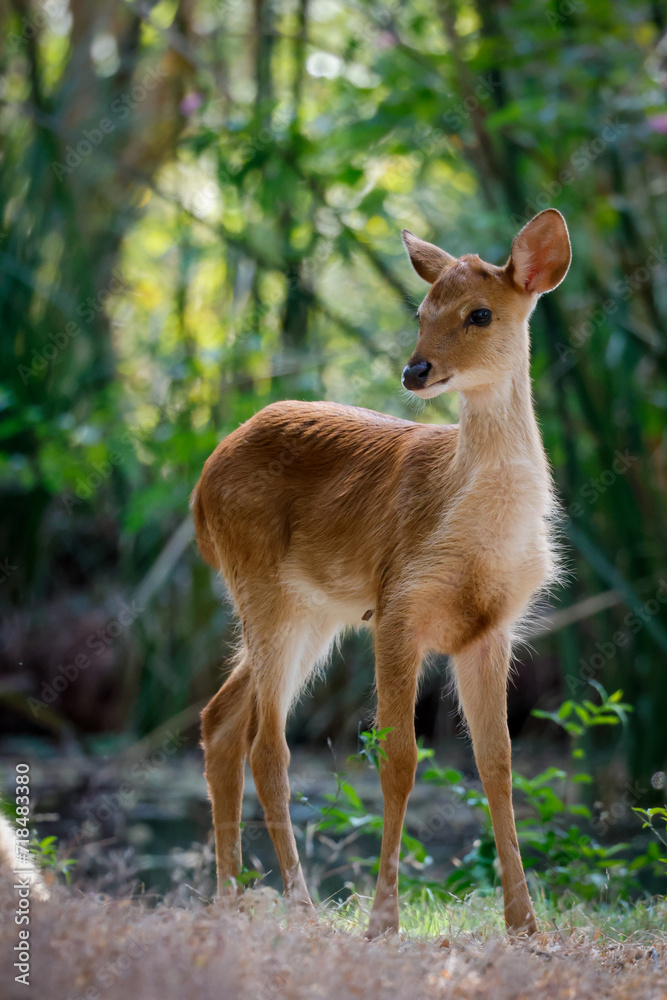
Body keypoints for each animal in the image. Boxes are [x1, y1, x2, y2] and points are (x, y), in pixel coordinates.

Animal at [192, 208, 571, 939]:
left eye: (480, 313)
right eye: (421, 312)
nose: (414, 370)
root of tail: (200, 486)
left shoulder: (489, 627)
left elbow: (498, 763)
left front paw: (525, 923)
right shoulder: (398, 607)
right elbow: (398, 761)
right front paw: (382, 920)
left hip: (313, 613)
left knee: (220, 718)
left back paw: (229, 900)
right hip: (264, 591)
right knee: (267, 746)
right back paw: (303, 908)